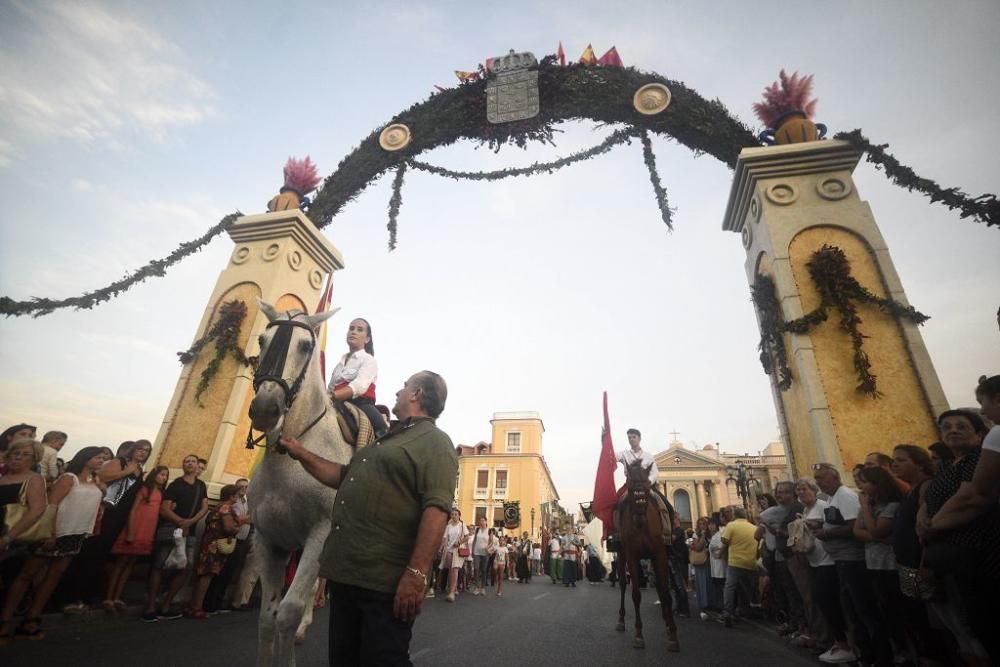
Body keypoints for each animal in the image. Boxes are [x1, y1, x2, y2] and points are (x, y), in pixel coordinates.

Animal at [247, 300, 352, 664]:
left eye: (305, 346)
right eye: (262, 340)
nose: (265, 408)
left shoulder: (321, 533)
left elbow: (287, 612)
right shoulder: (267, 540)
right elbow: (267, 619)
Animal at [616, 460, 680, 652]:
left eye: (646, 485)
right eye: (629, 485)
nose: (639, 519)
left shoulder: (659, 554)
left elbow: (665, 592)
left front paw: (672, 634)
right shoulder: (632, 556)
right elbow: (636, 594)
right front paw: (638, 635)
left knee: (659, 587)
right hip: (622, 555)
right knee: (623, 584)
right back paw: (621, 620)